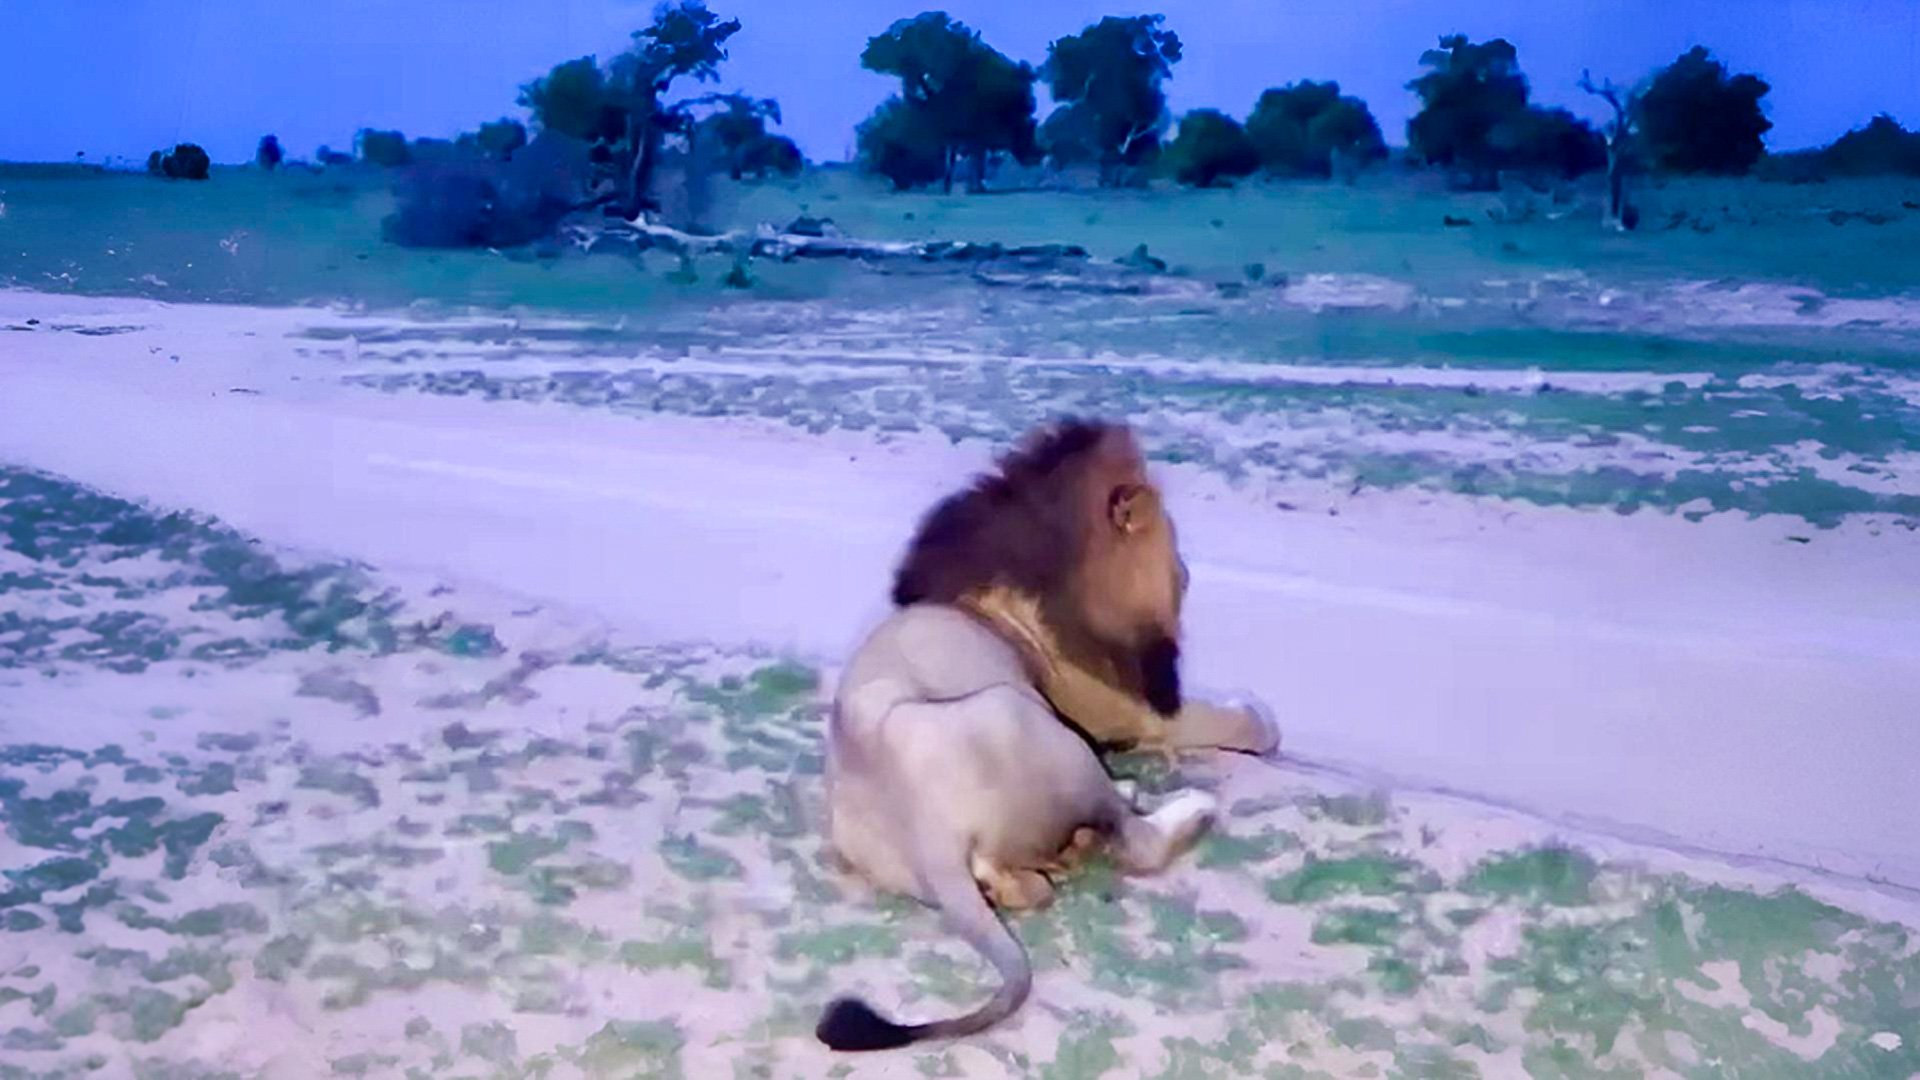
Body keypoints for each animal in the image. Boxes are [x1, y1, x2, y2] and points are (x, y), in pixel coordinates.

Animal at [815, 419, 1280, 1051]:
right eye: (1171, 548)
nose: (1187, 573)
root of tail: (931, 838)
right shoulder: (1130, 712)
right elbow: (1246, 726)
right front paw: (1255, 715)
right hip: (1028, 717)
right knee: (1136, 841)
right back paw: (1188, 807)